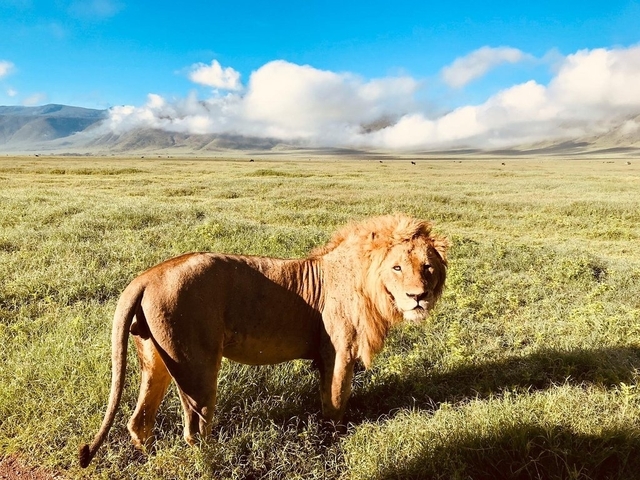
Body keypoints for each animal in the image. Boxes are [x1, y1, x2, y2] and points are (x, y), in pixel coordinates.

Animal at [79, 214, 448, 467]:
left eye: (428, 267)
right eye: (397, 267)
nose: (418, 297)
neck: (370, 285)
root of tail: (146, 277)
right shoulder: (339, 351)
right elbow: (335, 400)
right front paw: (334, 440)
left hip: (155, 360)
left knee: (139, 420)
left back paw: (152, 457)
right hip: (197, 365)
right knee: (195, 427)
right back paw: (214, 458)